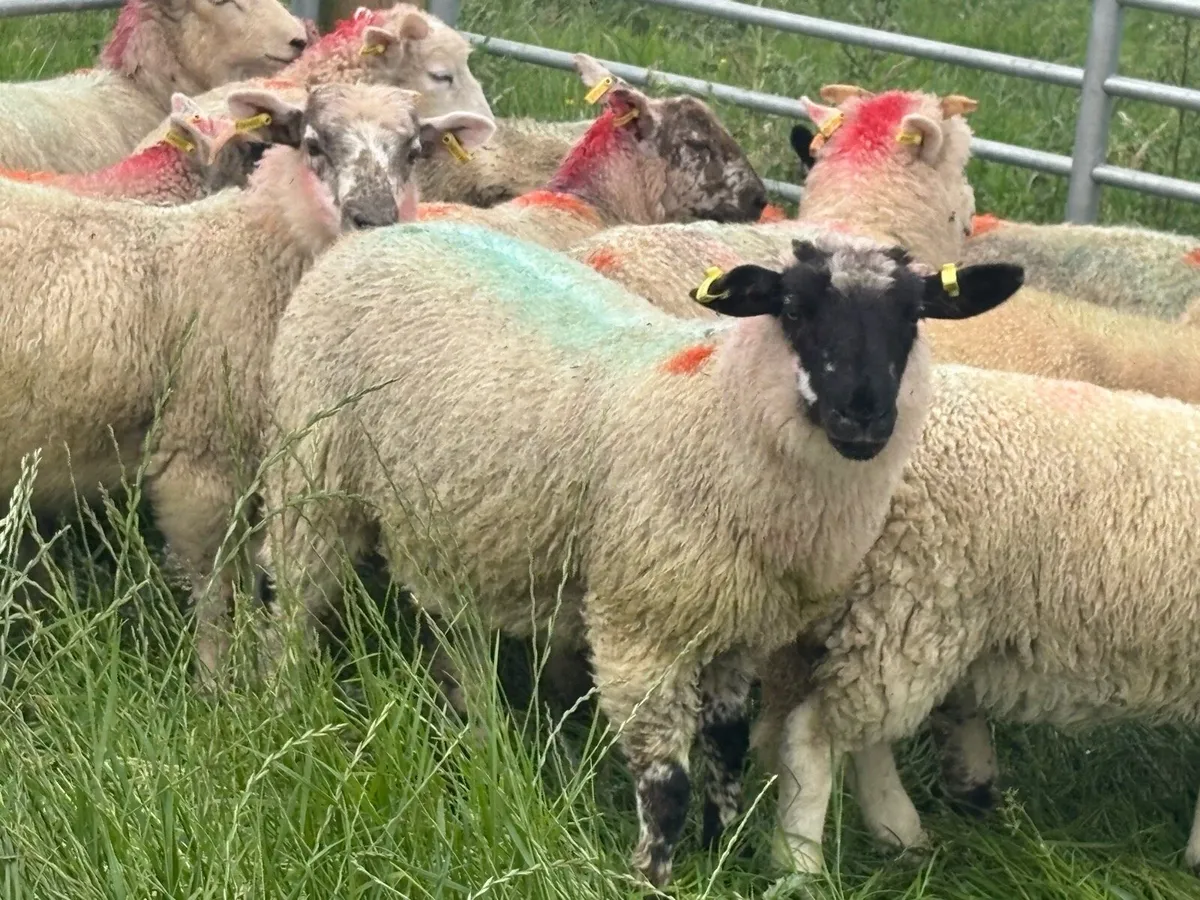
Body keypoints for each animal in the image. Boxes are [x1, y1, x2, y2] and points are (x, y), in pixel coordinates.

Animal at [254, 222, 1023, 887]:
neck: (716, 410)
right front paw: (653, 874)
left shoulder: (739, 630)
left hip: (456, 522)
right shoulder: (640, 626)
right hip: (311, 471)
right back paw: (283, 705)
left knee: (454, 629)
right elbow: (667, 781)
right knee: (287, 595)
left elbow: (727, 745)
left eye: (914, 315)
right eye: (794, 309)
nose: (863, 414)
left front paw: (718, 849)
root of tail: (378, 233)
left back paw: (479, 734)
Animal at [750, 363, 1200, 877]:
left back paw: (898, 834)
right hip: (909, 602)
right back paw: (799, 863)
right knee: (813, 737)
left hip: (881, 618)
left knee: (862, 735)